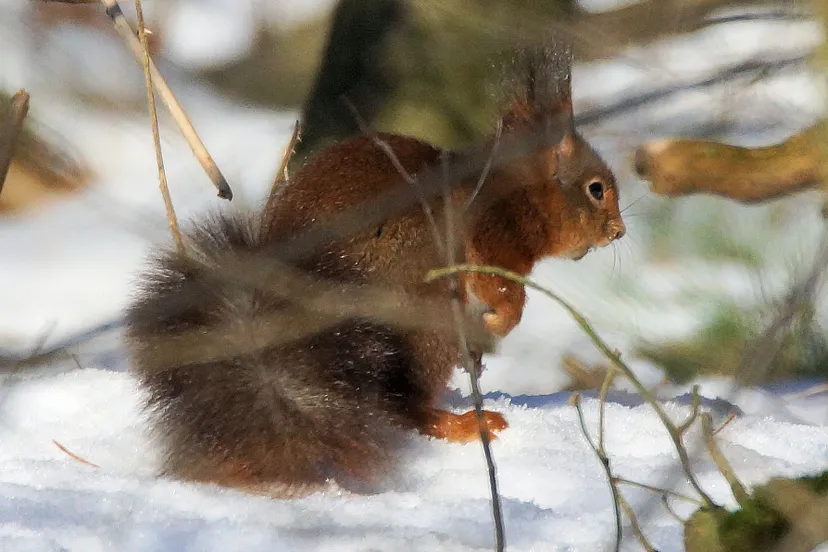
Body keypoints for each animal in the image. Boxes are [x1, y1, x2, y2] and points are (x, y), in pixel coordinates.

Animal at [124, 46, 628, 496]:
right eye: (596, 188)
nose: (619, 232)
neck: (511, 187)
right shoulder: (490, 234)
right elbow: (500, 288)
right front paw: (498, 321)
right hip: (426, 313)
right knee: (406, 408)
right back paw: (464, 421)